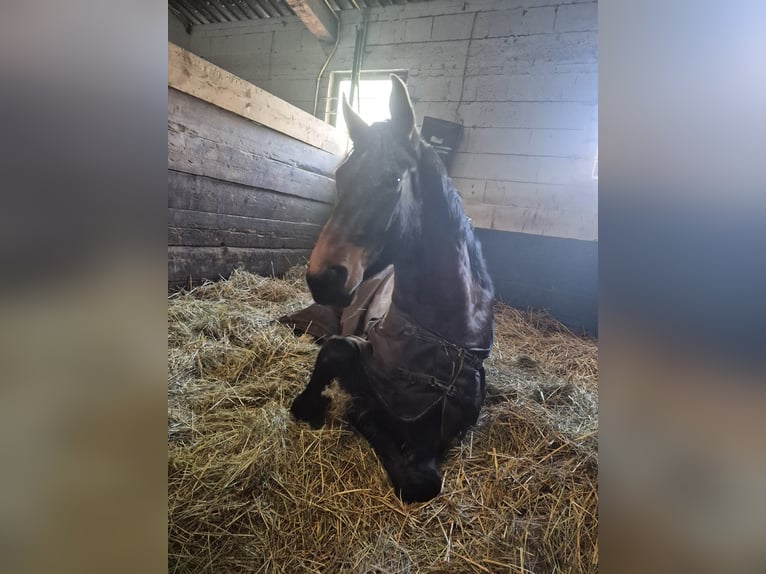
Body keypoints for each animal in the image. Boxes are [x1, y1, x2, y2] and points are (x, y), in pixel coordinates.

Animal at [280, 75, 494, 503]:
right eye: (341, 176)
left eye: (394, 179)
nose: (322, 277)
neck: (441, 337)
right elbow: (335, 354)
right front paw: (328, 406)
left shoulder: (442, 430)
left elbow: (420, 480)